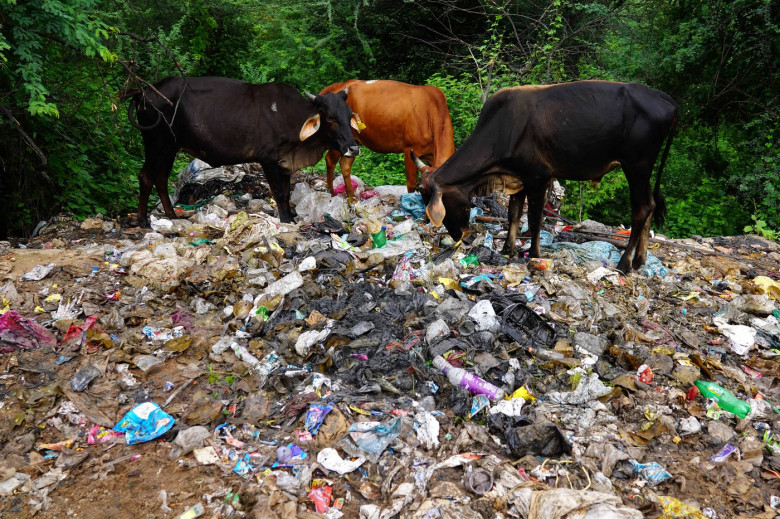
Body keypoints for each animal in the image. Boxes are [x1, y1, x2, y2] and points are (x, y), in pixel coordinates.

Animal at [126, 76, 362, 225]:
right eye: (330, 118)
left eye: (349, 114)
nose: (353, 148)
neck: (291, 117)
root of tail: (143, 92)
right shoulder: (268, 159)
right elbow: (278, 192)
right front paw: (285, 220)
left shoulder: (285, 163)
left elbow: (286, 193)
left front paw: (291, 218)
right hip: (157, 145)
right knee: (146, 177)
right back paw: (143, 221)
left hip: (169, 149)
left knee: (161, 179)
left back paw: (171, 214)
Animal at [318, 80, 458, 200]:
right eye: (422, 190)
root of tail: (339, 85)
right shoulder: (410, 149)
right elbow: (411, 184)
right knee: (330, 160)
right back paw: (331, 193)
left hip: (354, 142)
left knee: (345, 165)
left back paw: (352, 197)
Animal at [418, 79, 680, 274]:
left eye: (441, 204)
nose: (458, 236)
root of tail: (665, 99)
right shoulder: (518, 178)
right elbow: (513, 215)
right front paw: (507, 250)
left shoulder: (539, 177)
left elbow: (534, 219)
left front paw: (534, 255)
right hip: (642, 169)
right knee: (650, 205)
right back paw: (640, 260)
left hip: (637, 165)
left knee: (642, 208)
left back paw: (625, 263)